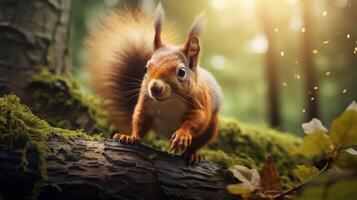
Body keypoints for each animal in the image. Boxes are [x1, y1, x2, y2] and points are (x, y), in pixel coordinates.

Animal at [84, 4, 221, 164]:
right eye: (146, 68)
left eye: (182, 72)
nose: (154, 87)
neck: (170, 101)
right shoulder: (145, 103)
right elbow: (139, 119)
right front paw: (130, 137)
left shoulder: (199, 102)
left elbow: (197, 119)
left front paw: (182, 135)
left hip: (211, 129)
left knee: (197, 142)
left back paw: (192, 154)